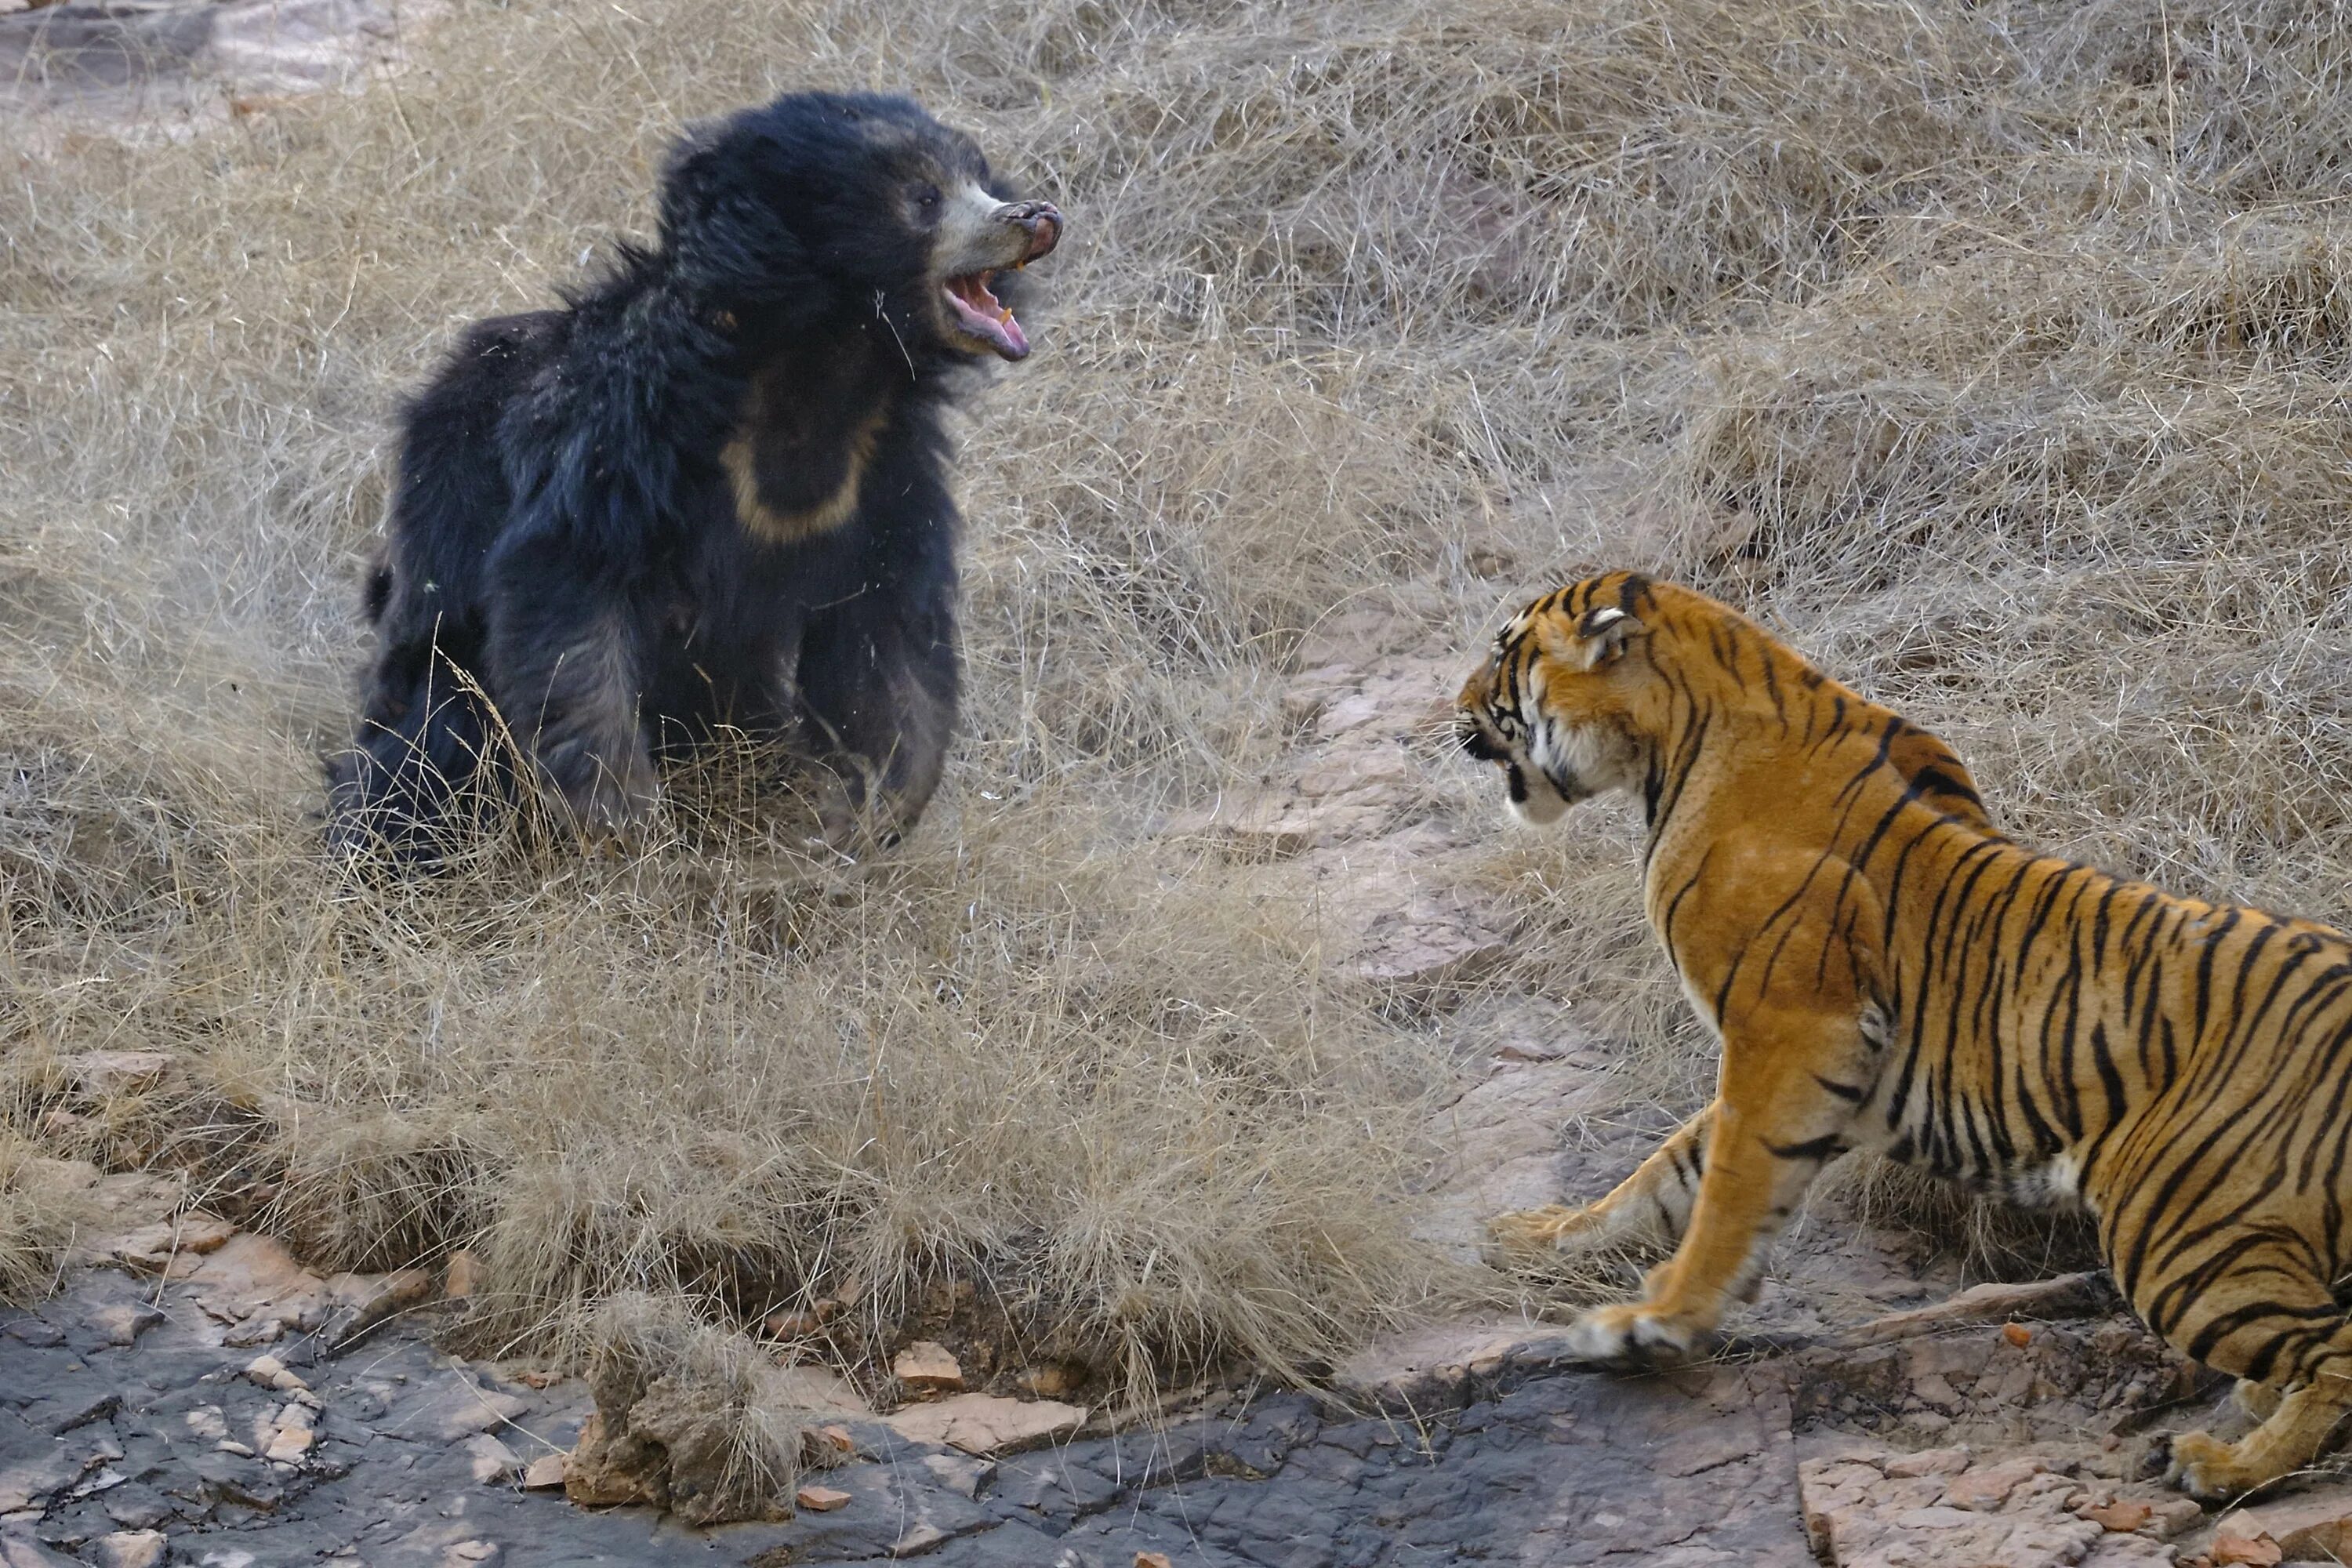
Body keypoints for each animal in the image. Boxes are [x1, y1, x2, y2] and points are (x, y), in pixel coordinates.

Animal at [327, 92, 1063, 865]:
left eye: (978, 179)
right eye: (924, 198)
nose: (1039, 216)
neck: (822, 367)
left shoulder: (884, 472)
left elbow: (883, 635)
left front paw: (871, 814)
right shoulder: (625, 434)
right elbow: (567, 586)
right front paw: (622, 821)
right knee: (432, 746)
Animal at [1449, 571, 2352, 1504]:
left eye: (1504, 653)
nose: (1453, 708)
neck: (1671, 745)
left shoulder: (1792, 1031)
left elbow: (1727, 1188)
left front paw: (1652, 1323)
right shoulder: (1818, 1067)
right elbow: (1669, 1173)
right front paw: (1544, 1236)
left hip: (2178, 1231)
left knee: (2335, 1354)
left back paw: (2229, 1463)